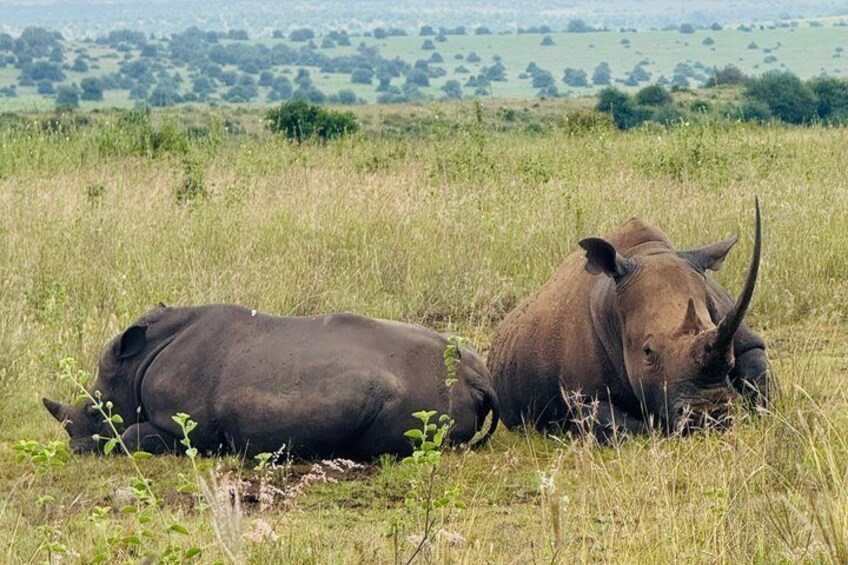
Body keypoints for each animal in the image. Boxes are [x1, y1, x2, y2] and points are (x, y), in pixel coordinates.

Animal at [43, 304, 498, 459]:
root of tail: (478, 377)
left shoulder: (187, 430)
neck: (135, 365)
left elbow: (129, 438)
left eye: (94, 412)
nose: (76, 449)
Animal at [487, 201, 770, 441]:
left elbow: (761, 382)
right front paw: (659, 427)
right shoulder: (583, 395)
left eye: (728, 351)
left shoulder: (743, 335)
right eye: (647, 352)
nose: (710, 415)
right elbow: (627, 427)